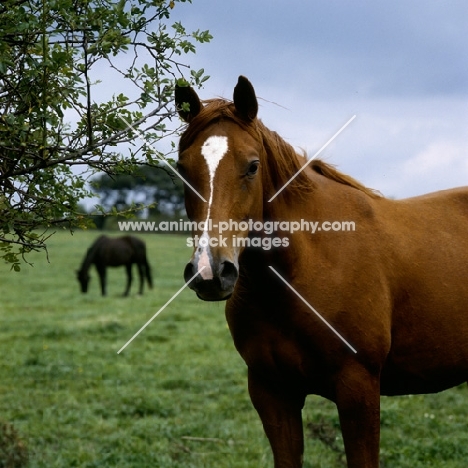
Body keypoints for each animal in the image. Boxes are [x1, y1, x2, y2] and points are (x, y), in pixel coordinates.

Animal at [175, 75, 468, 466]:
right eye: (182, 169)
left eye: (252, 166)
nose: (211, 272)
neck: (301, 271)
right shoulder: (272, 393)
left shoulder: (358, 390)